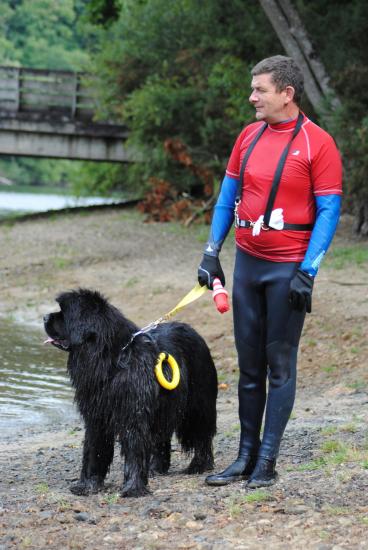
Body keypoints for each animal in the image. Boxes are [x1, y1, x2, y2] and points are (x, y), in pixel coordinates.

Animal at [43, 292, 217, 498]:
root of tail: (195, 332)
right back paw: (156, 467)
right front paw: (87, 485)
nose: (44, 317)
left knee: (202, 434)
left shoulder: (133, 414)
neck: (112, 360)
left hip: (197, 403)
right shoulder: (96, 416)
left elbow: (134, 449)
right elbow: (93, 450)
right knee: (161, 436)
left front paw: (133, 487)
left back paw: (199, 465)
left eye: (63, 312)